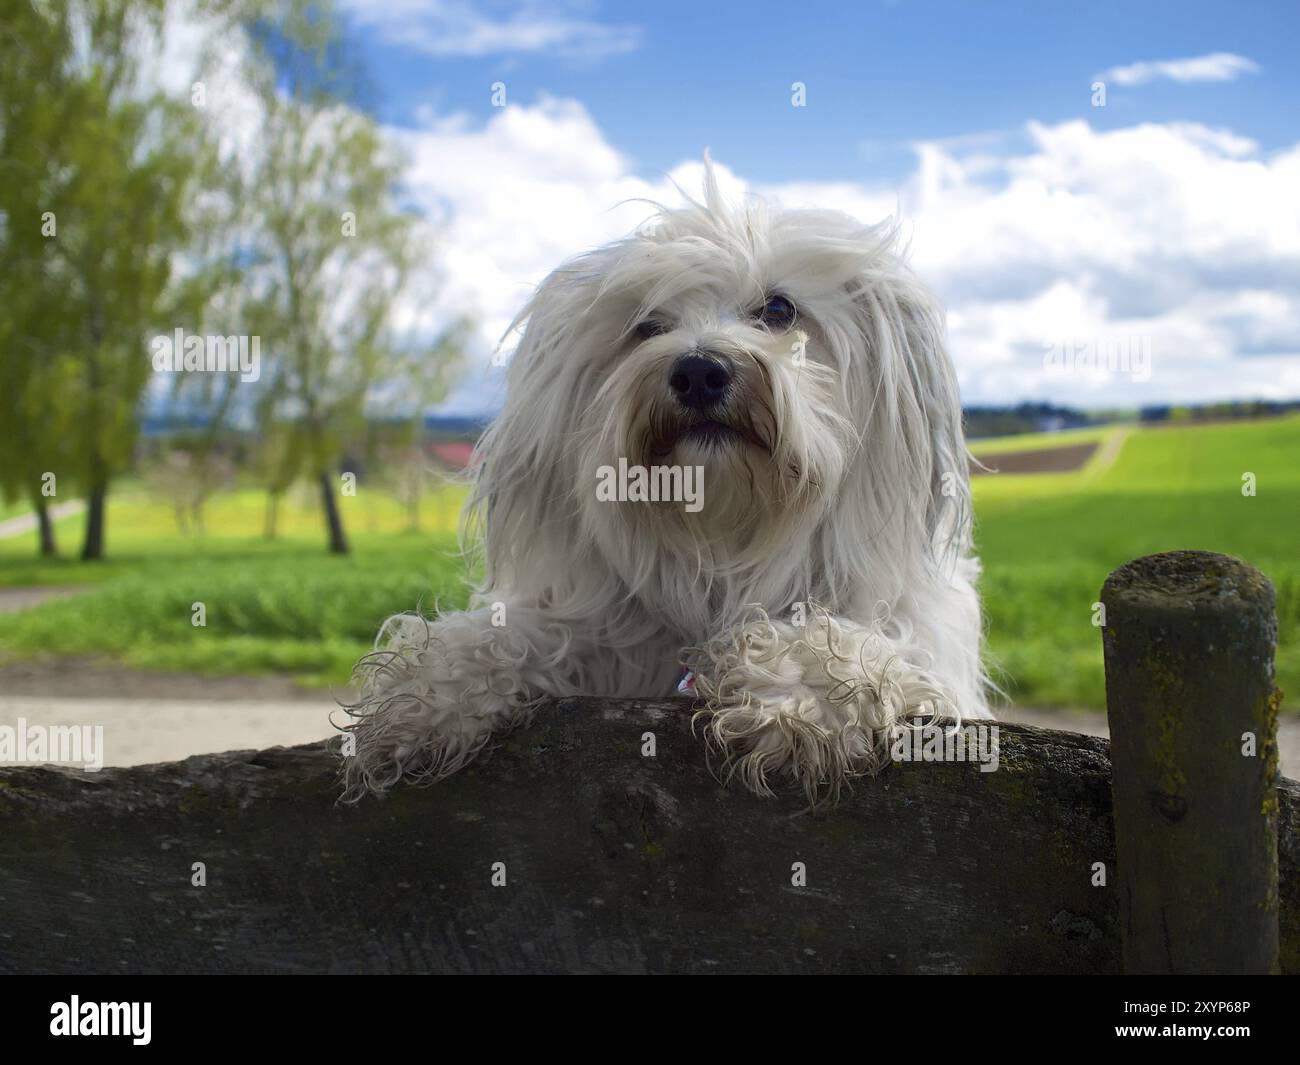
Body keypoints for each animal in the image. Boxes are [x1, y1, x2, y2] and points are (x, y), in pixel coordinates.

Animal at [340, 166, 987, 806]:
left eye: (779, 309)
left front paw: (804, 686)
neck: (725, 541)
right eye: (646, 326)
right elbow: (525, 632)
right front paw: (431, 688)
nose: (699, 371)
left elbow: (873, 638)